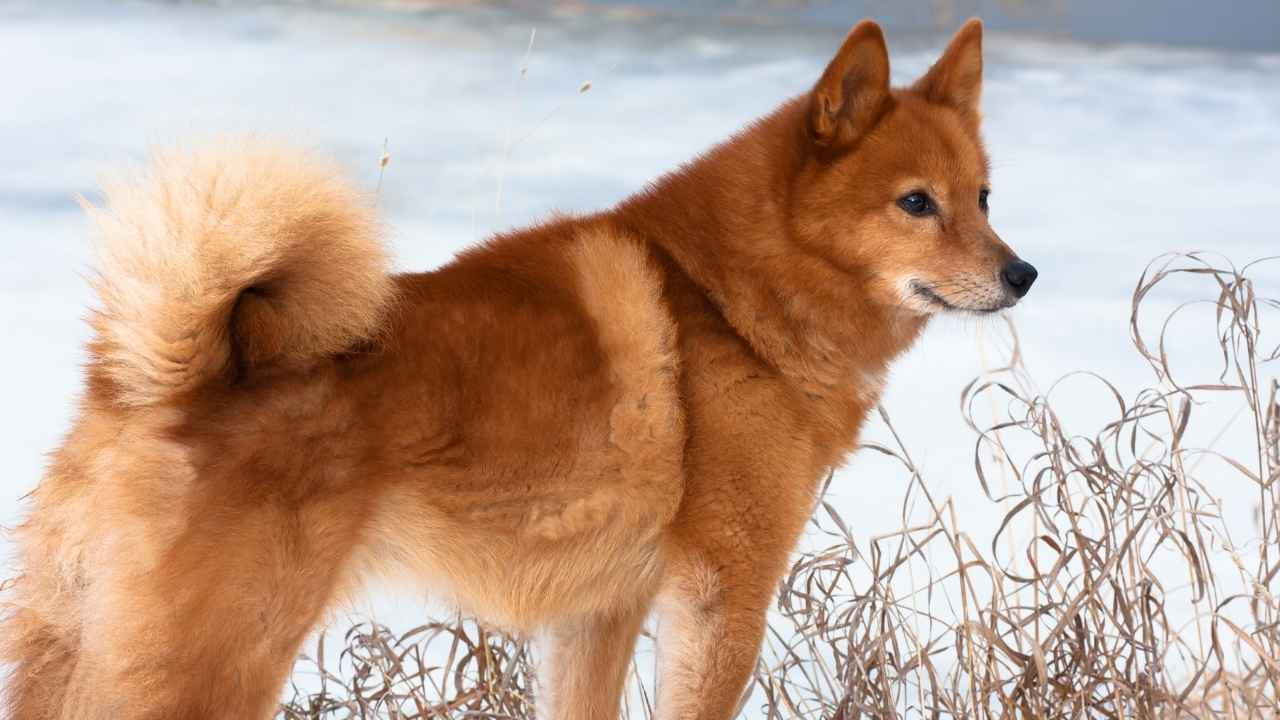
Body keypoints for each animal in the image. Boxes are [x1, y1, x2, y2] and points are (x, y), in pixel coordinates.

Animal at [0, 16, 1034, 717]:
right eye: (916, 203)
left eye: (984, 197)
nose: (1022, 275)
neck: (728, 298)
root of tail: (158, 377)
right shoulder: (722, 592)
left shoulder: (599, 613)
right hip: (212, 665)